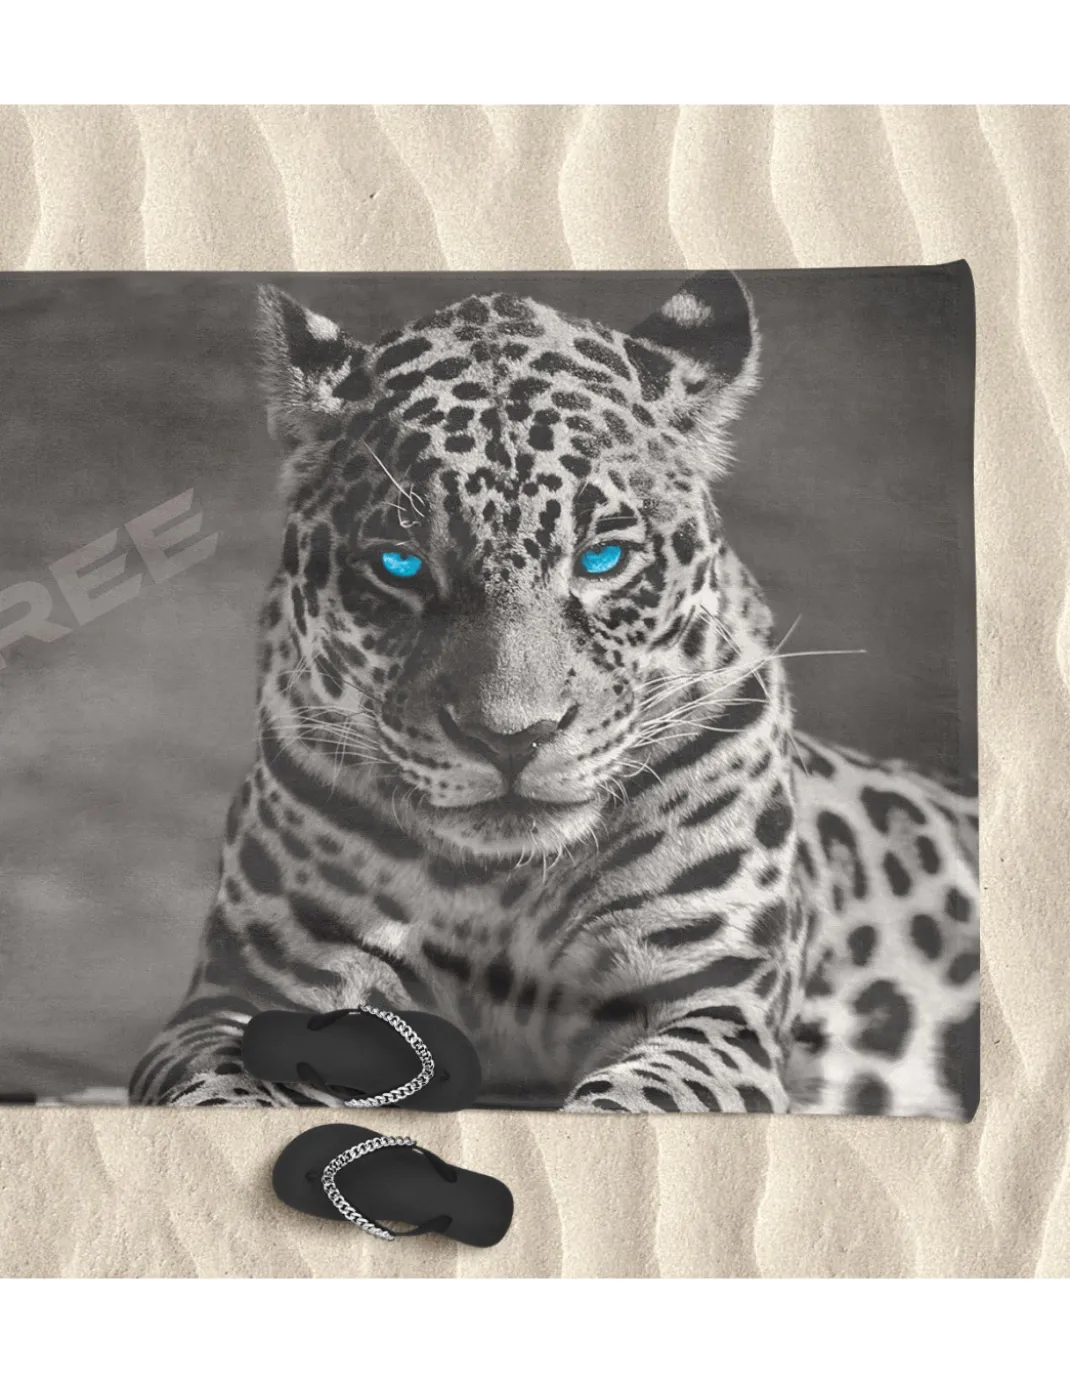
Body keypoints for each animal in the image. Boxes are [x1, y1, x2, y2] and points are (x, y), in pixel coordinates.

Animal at [130, 272, 979, 1119]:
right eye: (400, 566)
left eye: (602, 558)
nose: (512, 737)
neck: (500, 887)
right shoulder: (243, 995)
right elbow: (222, 1085)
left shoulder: (711, 1006)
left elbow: (634, 1104)